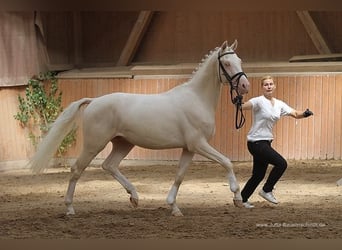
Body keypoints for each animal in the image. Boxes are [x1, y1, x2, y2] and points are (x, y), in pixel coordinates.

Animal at [29, 40, 250, 216]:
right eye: (227, 63)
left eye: (240, 61)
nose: (245, 86)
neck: (197, 99)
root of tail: (93, 101)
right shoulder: (199, 144)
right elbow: (226, 162)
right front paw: (237, 198)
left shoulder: (189, 148)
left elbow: (179, 176)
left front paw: (174, 207)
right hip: (95, 144)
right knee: (77, 169)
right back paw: (69, 208)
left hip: (123, 143)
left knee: (109, 165)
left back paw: (134, 197)